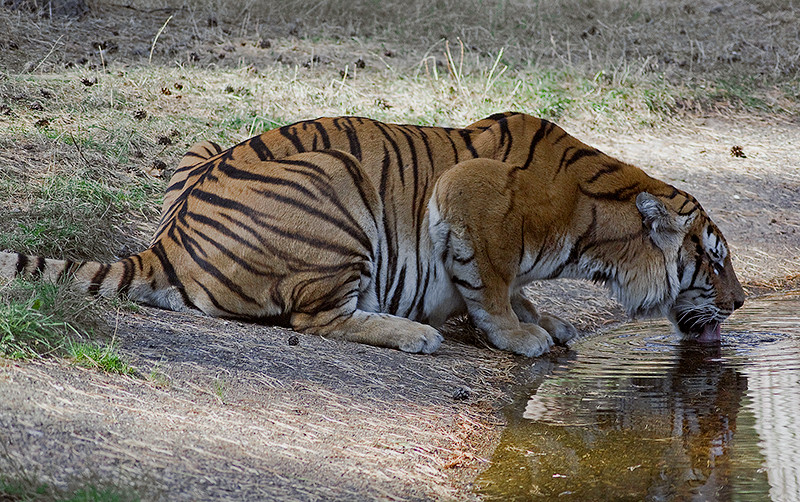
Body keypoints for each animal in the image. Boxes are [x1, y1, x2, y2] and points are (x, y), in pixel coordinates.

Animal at [3, 113, 748, 356]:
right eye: (713, 264)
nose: (741, 304)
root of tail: (167, 240)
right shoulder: (470, 193)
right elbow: (495, 285)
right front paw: (523, 336)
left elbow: (510, 287)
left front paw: (546, 321)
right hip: (338, 179)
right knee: (312, 318)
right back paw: (413, 333)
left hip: (203, 146)